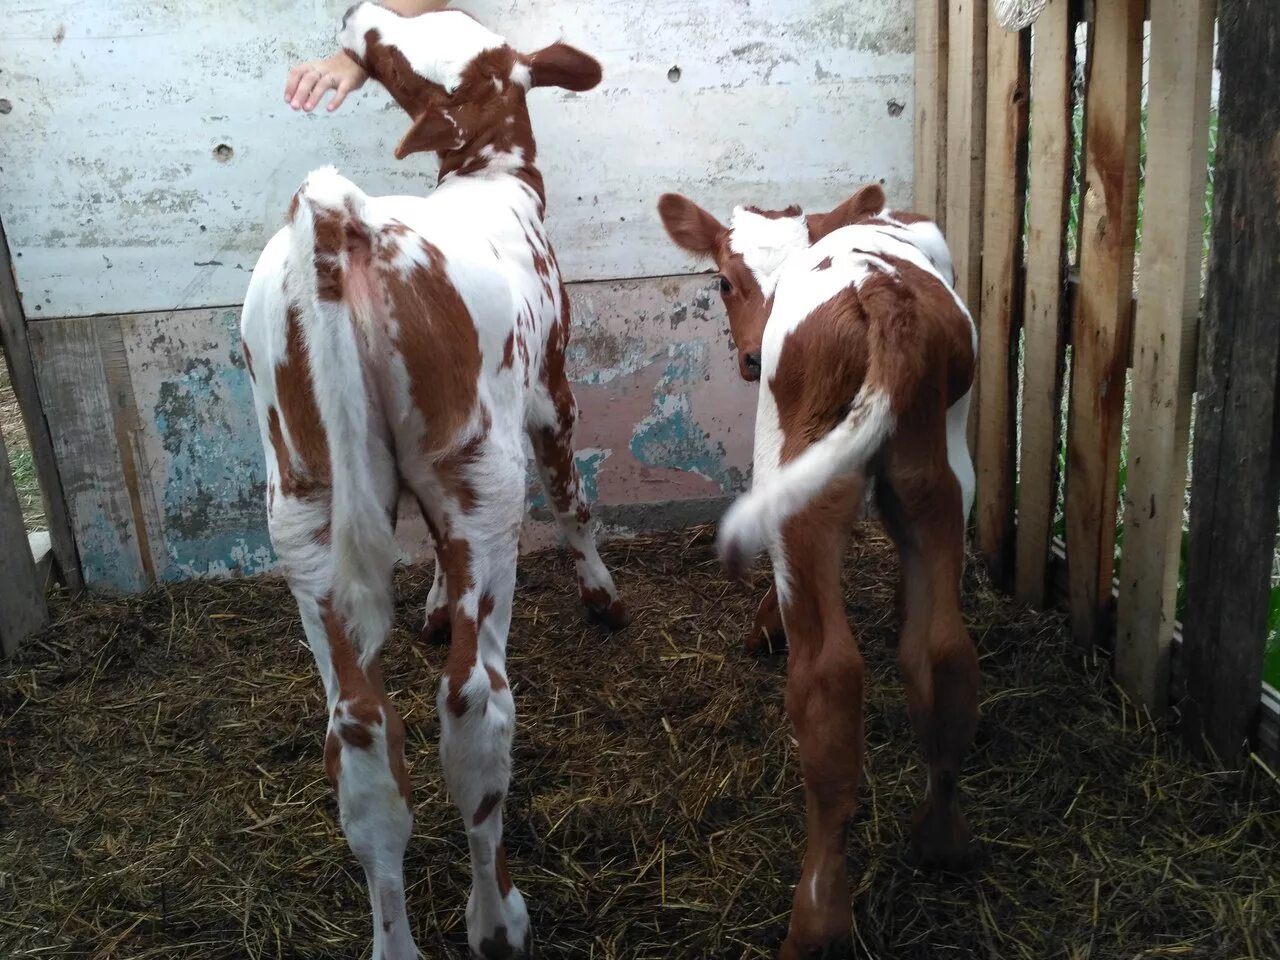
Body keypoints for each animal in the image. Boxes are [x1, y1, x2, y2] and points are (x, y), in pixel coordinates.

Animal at [240, 5, 624, 957]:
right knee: (472, 703)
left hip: (304, 506)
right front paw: (603, 596)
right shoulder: (551, 389)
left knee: (362, 736)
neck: (495, 180)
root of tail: (348, 221)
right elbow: (576, 499)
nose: (352, 18)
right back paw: (497, 919)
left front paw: (433, 606)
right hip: (483, 475)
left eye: (397, 57)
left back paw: (396, 939)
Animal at [660, 184, 977, 957]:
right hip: (936, 470)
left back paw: (815, 922)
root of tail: (879, 291)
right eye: (725, 281)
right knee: (944, 651)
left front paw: (763, 629)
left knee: (829, 681)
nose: (751, 358)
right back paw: (942, 840)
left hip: (803, 466)